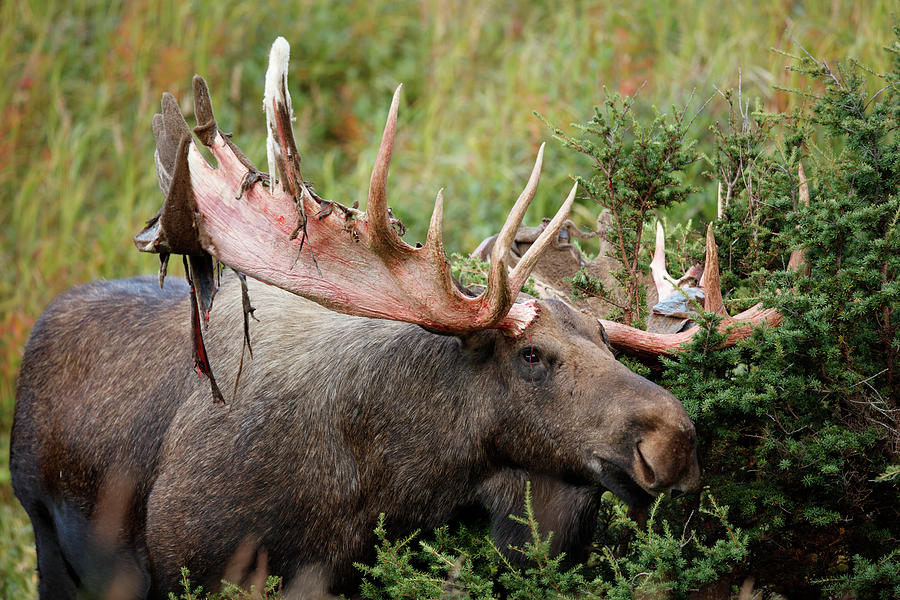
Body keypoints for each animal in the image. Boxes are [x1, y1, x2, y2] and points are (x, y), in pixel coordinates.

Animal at [8, 36, 788, 596]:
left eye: (607, 340)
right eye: (531, 356)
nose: (675, 442)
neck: (383, 487)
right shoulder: (191, 564)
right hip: (46, 535)